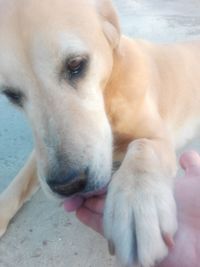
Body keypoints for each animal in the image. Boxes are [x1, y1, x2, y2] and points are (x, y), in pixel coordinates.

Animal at [0, 0, 200, 266]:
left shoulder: (157, 135)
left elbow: (142, 146)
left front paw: (135, 203)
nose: (68, 184)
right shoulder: (40, 155)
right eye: (11, 94)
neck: (110, 90)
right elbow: (19, 181)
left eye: (75, 64)